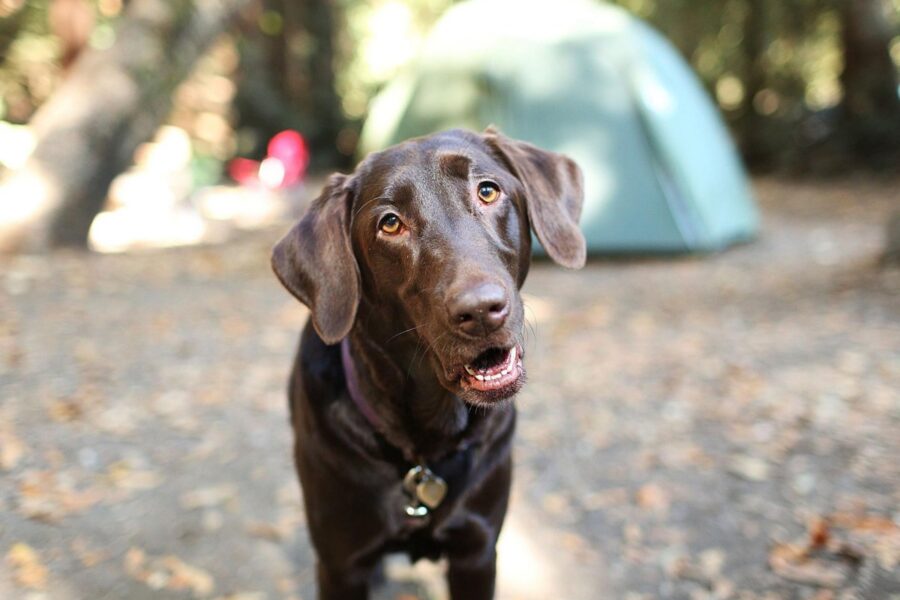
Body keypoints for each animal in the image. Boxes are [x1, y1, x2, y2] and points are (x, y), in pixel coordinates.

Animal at [270, 127, 588, 600]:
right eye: (390, 223)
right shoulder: (341, 565)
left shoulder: (477, 552)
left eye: (487, 191)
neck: (425, 446)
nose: (481, 311)